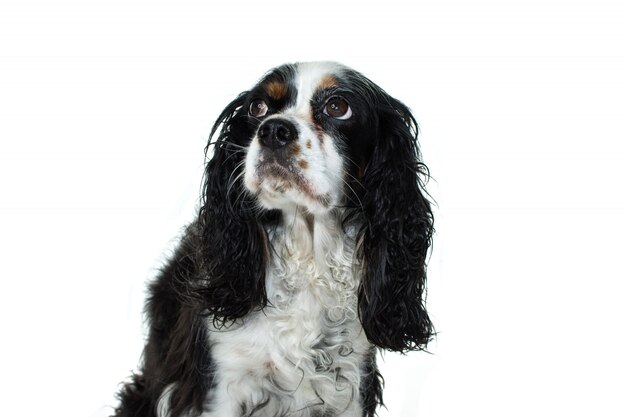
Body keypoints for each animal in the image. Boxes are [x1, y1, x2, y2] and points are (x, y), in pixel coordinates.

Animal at [113, 61, 434, 416]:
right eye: (258, 107)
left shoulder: (349, 387)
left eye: (338, 107)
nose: (273, 130)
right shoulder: (218, 388)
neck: (307, 257)